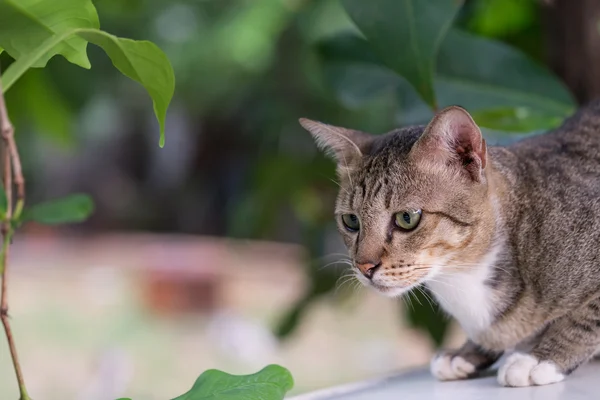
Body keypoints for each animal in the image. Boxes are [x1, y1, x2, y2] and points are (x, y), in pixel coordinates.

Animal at [300, 103, 600, 388]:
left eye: (407, 218)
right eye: (351, 221)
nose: (364, 267)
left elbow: (585, 317)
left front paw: (541, 359)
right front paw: (466, 353)